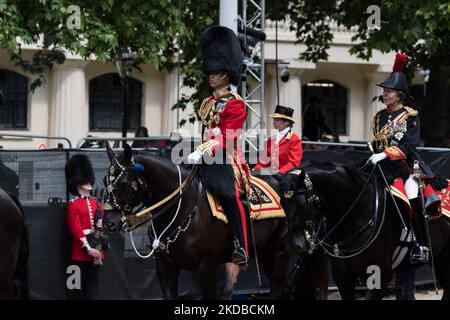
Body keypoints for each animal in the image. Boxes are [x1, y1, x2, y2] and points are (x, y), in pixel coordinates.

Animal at [102, 145, 292, 300]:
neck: (183, 207)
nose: (108, 223)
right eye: (105, 181)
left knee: (278, 290)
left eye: (123, 182)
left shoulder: (206, 268)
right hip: (263, 253)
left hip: (278, 252)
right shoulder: (165, 267)